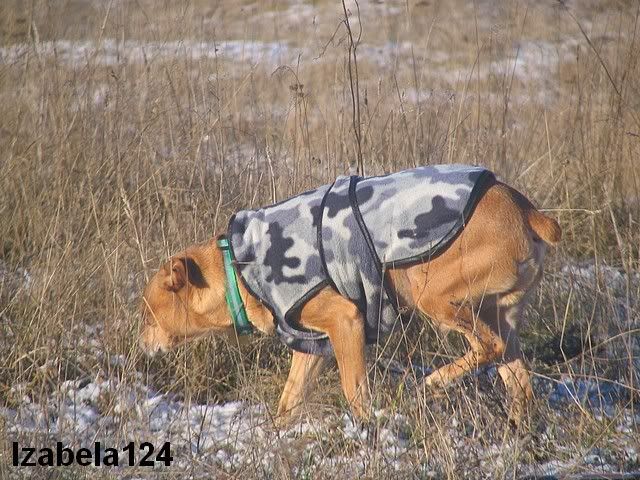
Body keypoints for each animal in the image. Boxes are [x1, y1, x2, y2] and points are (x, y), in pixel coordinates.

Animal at [139, 165, 560, 425]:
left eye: (147, 313)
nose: (140, 345)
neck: (237, 266)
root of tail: (524, 208)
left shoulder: (346, 322)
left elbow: (354, 391)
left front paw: (366, 429)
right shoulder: (312, 346)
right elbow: (289, 401)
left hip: (435, 299)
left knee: (486, 346)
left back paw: (432, 383)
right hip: (500, 318)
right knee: (519, 382)